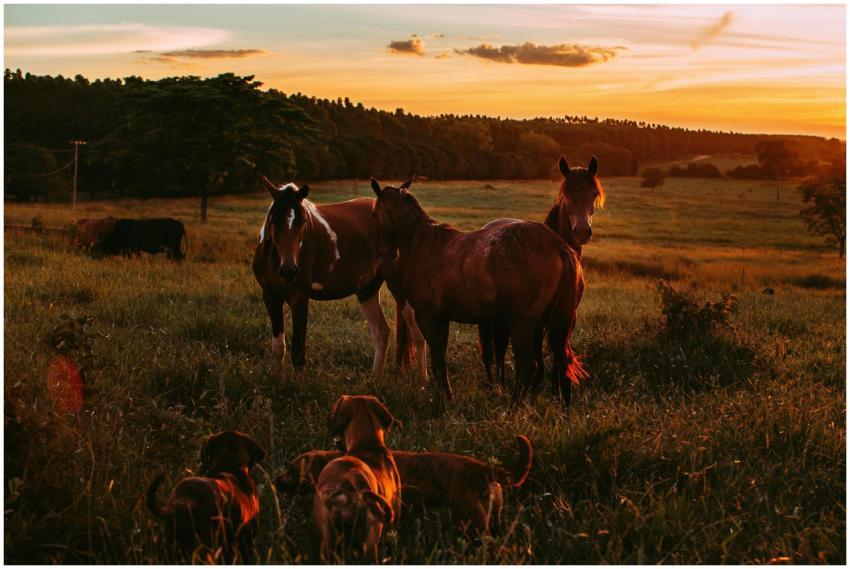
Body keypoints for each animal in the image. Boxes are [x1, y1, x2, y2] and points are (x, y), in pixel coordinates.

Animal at [253, 177, 416, 380]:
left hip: (401, 292)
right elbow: (278, 347)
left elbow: (298, 351)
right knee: (381, 331)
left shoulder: (299, 297)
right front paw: (278, 381)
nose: (290, 271)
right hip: (367, 290)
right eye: (274, 219)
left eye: (303, 222)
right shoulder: (271, 296)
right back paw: (374, 380)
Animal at [370, 178, 585, 407]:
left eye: (374, 213)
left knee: (528, 366)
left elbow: (437, 360)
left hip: (523, 323)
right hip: (552, 324)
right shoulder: (441, 318)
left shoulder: (429, 317)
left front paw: (444, 398)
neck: (421, 243)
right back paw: (563, 407)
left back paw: (512, 407)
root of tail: (558, 246)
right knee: (562, 361)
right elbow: (440, 358)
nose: (386, 253)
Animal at [478, 156, 604, 394]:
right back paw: (497, 384)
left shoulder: (565, 318)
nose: (582, 231)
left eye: (594, 193)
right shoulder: (535, 323)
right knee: (495, 350)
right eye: (567, 194)